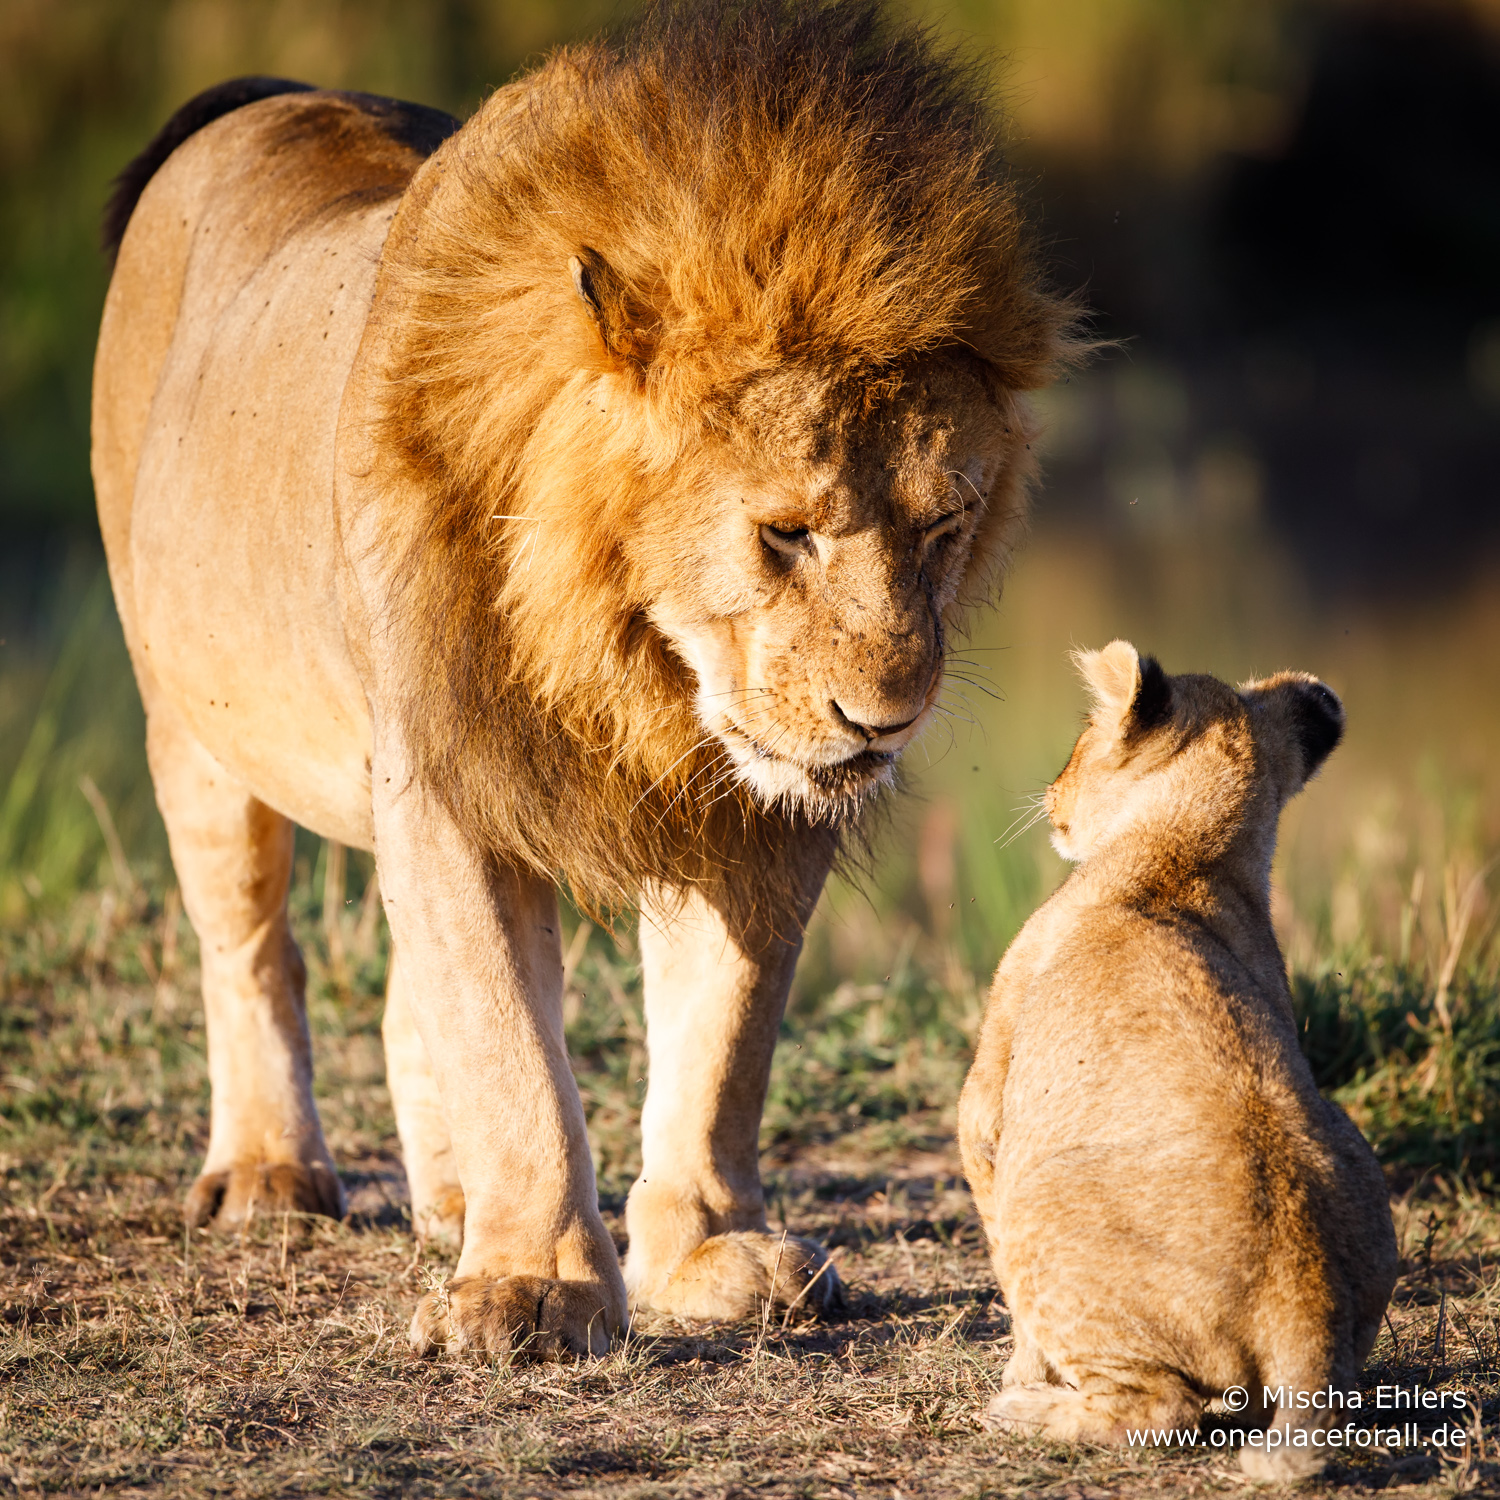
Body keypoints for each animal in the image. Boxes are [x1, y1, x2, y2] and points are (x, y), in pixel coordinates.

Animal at [93, 0, 1074, 1356]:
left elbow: (722, 1040)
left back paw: (451, 1201)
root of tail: (270, 94)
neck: (635, 660)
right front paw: (536, 1288)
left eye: (945, 527)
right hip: (188, 716)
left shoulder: (751, 818)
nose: (883, 721)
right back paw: (268, 1177)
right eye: (784, 533)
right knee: (250, 949)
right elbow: (510, 1040)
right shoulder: (449, 775)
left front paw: (705, 1255)